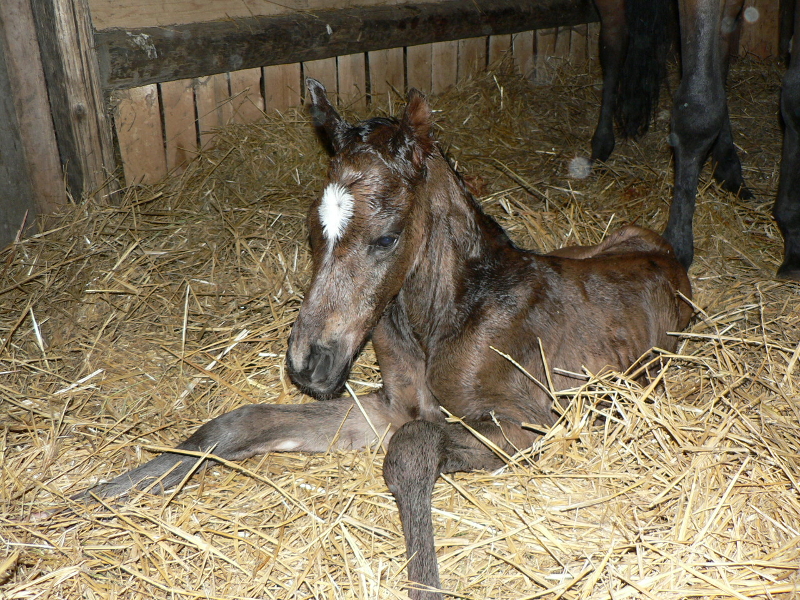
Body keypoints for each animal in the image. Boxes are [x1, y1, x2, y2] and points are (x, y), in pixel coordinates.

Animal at [75, 79, 693, 600]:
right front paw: (94, 496)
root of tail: (667, 253)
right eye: (312, 230)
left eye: (387, 238)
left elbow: (411, 449)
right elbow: (240, 423)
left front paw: (426, 583)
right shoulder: (391, 406)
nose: (308, 364)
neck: (444, 316)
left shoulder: (531, 423)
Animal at [587, 0, 800, 279]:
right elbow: (698, 111)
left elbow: (793, 98)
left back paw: (729, 169)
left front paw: (794, 239)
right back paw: (600, 146)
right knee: (613, 43)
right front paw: (676, 246)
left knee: (720, 53)